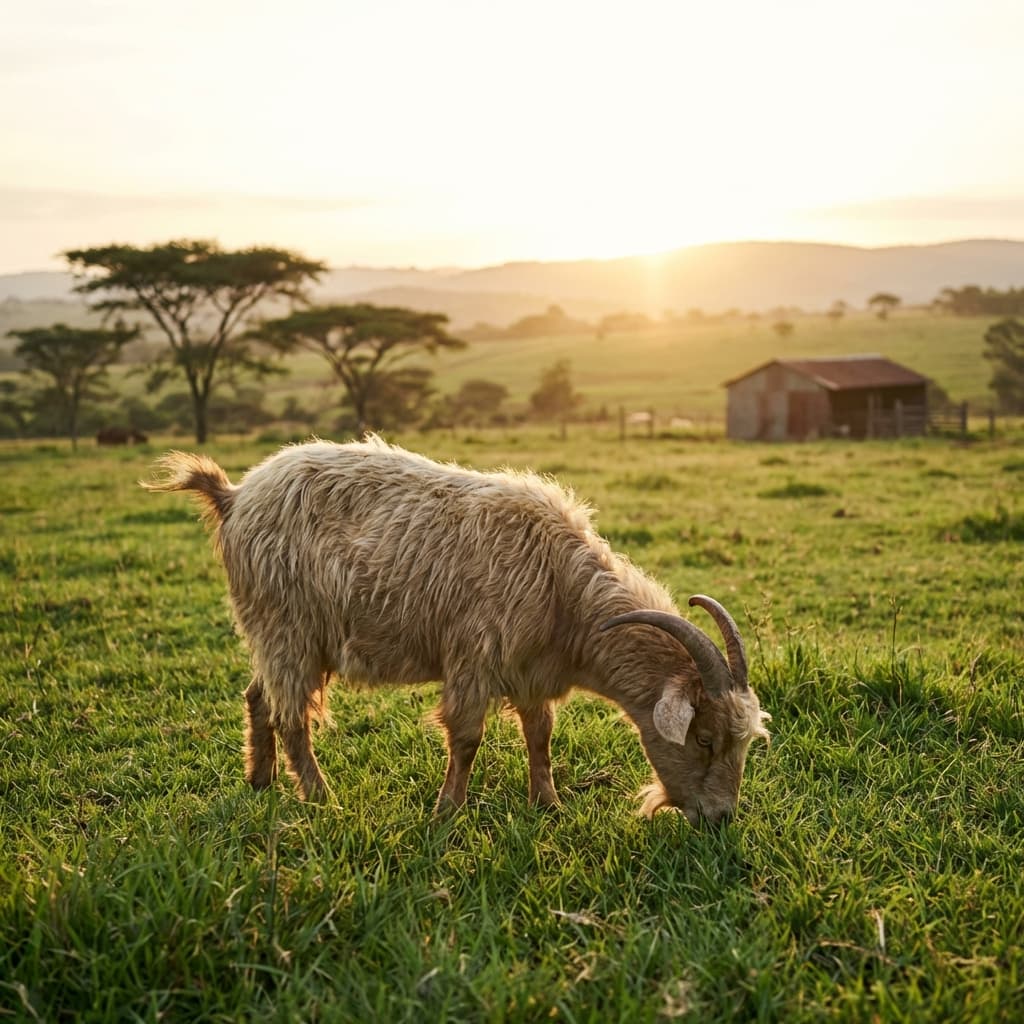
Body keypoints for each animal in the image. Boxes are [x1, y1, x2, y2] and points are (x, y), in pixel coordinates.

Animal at [143, 436, 769, 824]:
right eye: (705, 738)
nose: (721, 819)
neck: (562, 589)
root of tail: (233, 496)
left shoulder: (529, 670)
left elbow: (540, 736)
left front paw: (548, 804)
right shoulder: (474, 656)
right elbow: (467, 737)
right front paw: (447, 810)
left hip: (277, 634)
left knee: (259, 697)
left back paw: (260, 780)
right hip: (287, 627)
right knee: (293, 715)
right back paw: (322, 799)